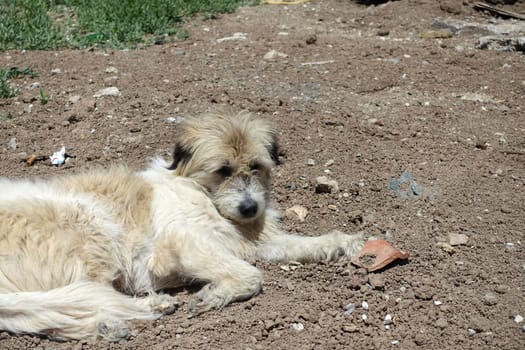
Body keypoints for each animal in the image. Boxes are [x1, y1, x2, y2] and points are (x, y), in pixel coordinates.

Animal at [0, 111, 362, 340]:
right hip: (90, 225)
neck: (203, 194)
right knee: (85, 294)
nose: (250, 208)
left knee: (53, 309)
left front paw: (348, 242)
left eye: (256, 166)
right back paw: (142, 308)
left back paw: (111, 324)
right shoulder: (180, 244)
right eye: (222, 170)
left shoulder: (255, 241)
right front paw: (213, 296)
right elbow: (251, 275)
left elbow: (304, 243)